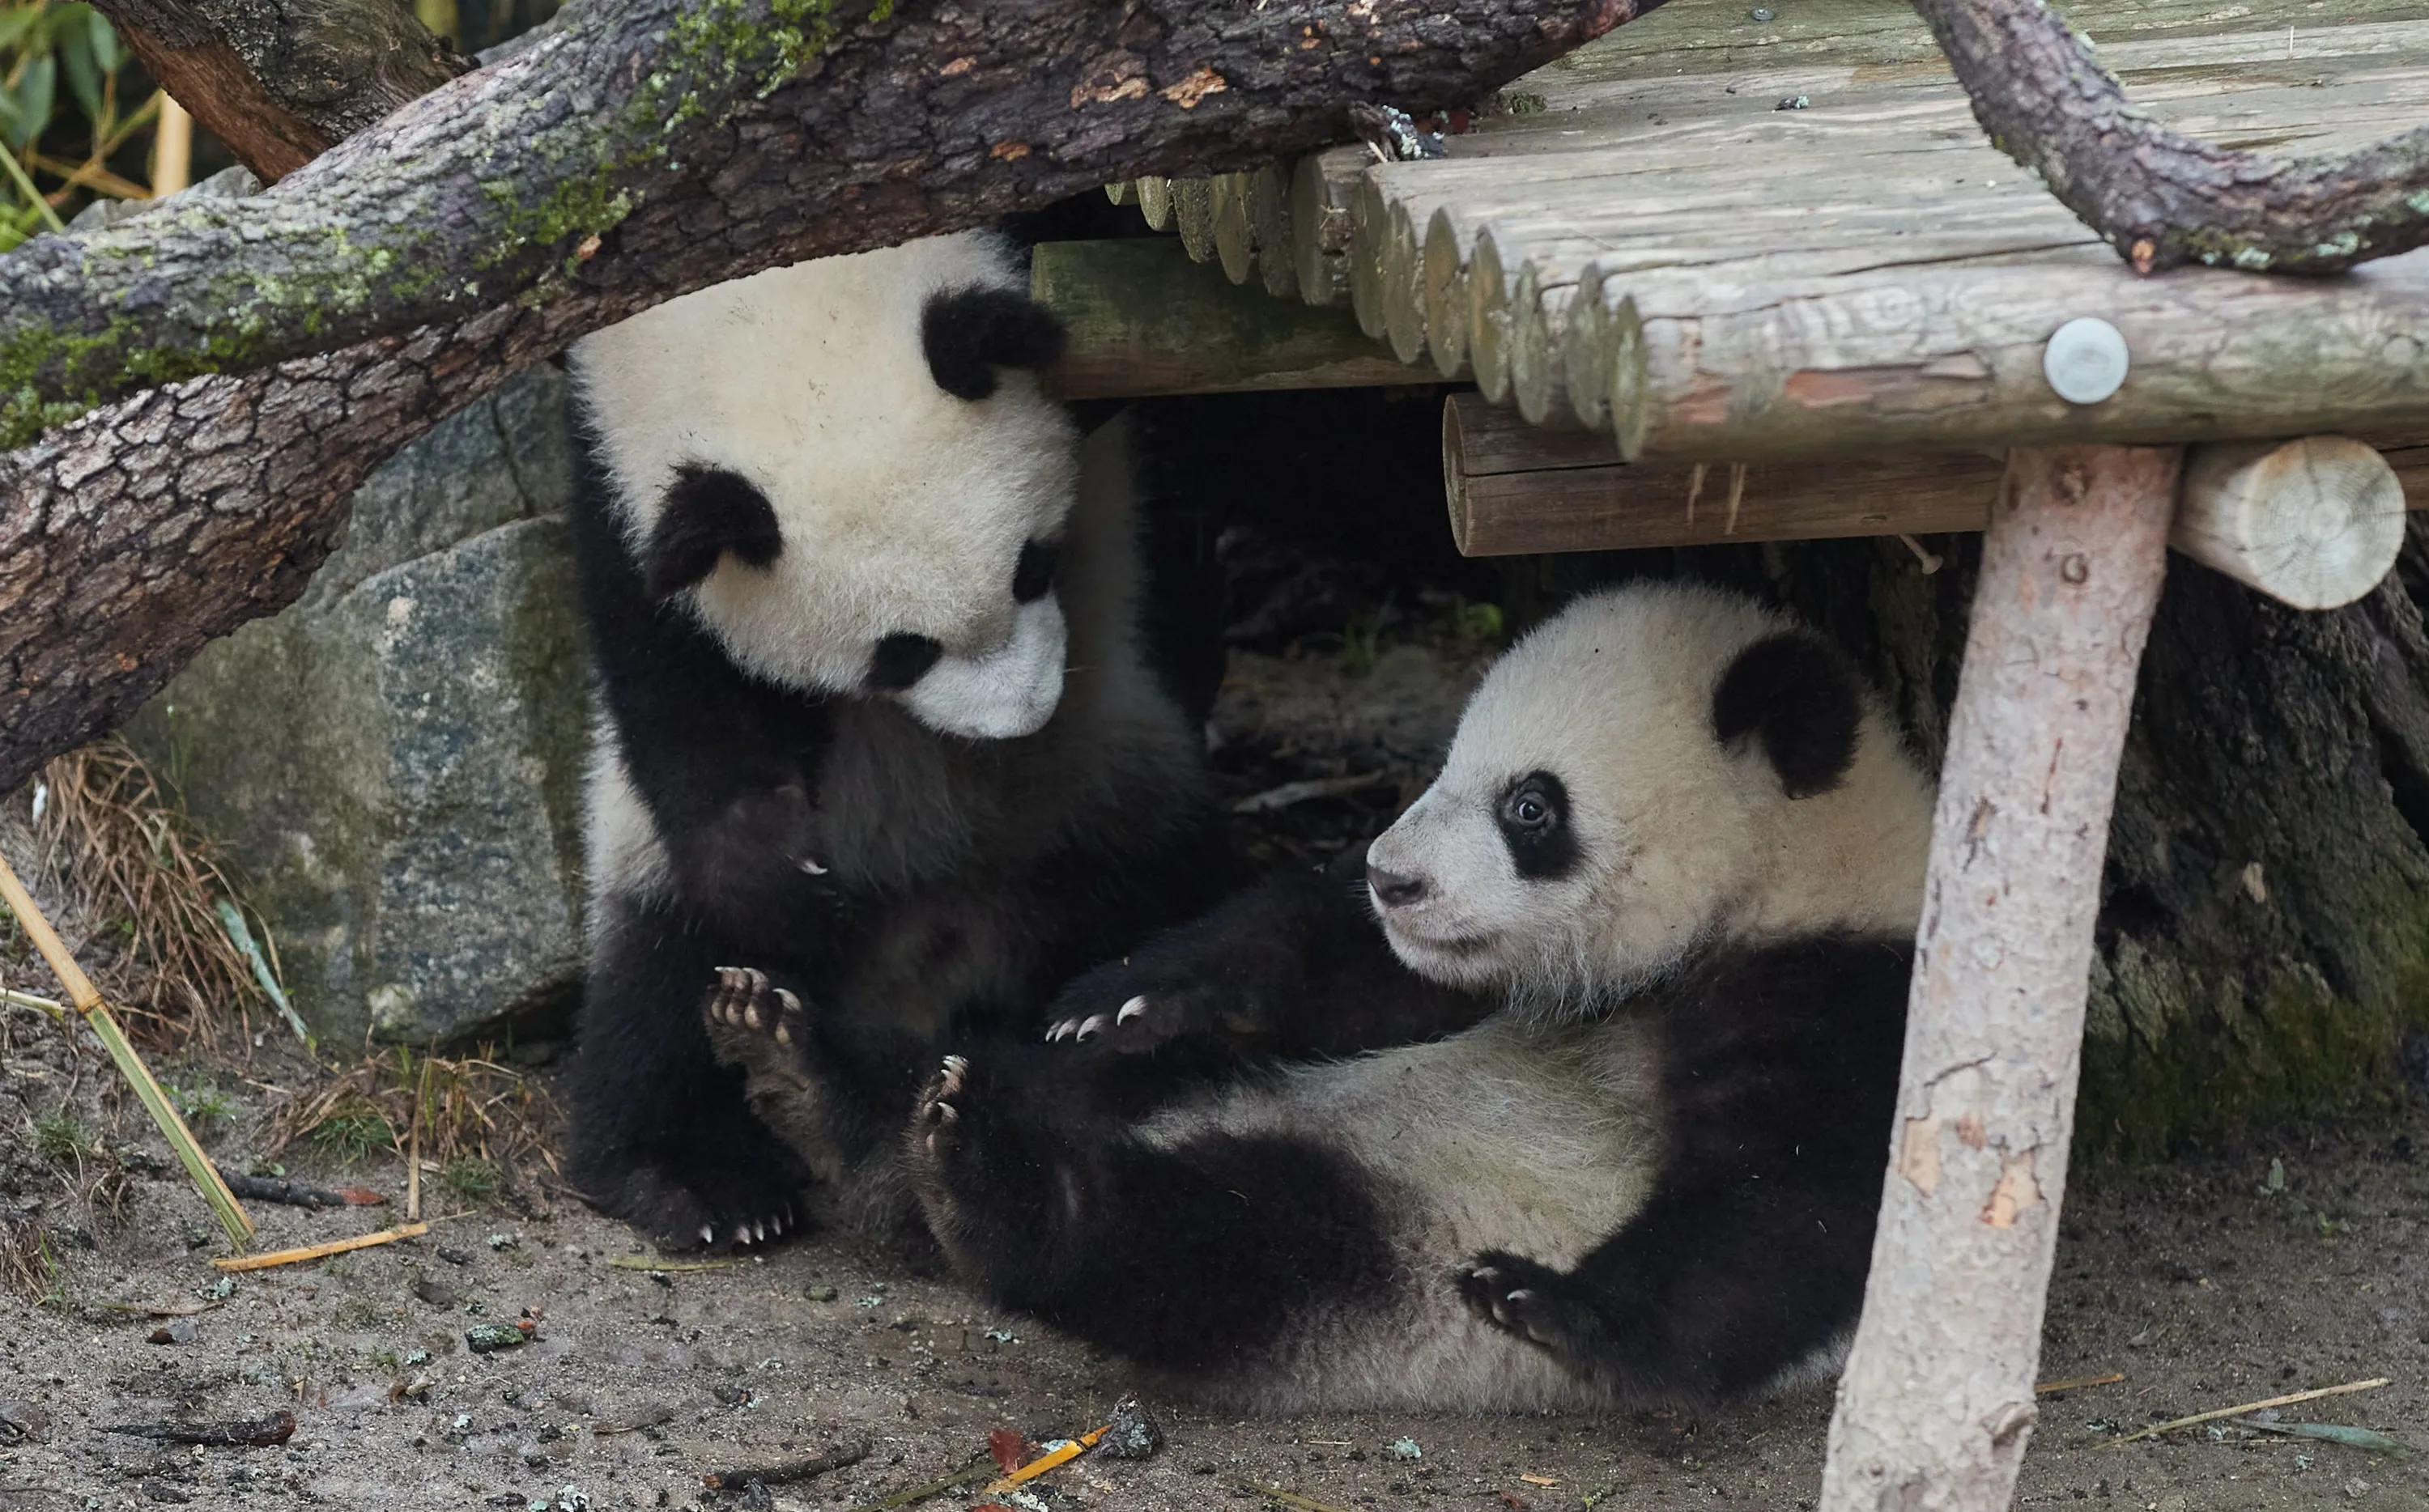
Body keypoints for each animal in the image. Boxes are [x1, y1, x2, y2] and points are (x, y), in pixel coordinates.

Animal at [560, 231, 1228, 1251]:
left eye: (1033, 566)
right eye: (902, 652)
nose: (1022, 720)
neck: (769, 303)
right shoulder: (611, 476)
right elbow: (673, 677)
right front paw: (778, 879)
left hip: (1111, 785)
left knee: (1162, 873)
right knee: (657, 974)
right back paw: (694, 1174)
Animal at [843, 580, 1936, 1412]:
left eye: (1530, 806)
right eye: (1447, 759)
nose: (1390, 877)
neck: (1778, 887)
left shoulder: (1850, 993)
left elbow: (1791, 1209)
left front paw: (1555, 1305)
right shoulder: (1473, 976)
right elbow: (1352, 974)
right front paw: (1134, 992)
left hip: (1401, 1234)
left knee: (1228, 1243)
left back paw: (998, 1183)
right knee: (1073, 1081)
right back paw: (849, 1090)